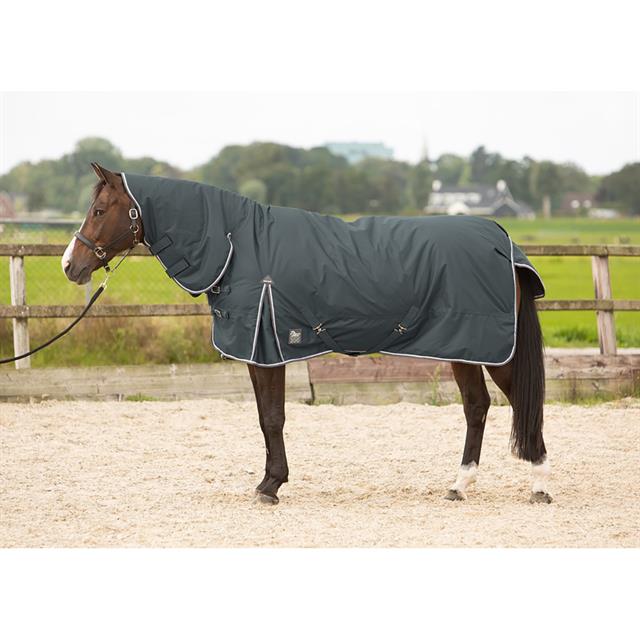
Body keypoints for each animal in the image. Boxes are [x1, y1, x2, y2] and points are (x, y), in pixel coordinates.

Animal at [62, 163, 551, 505]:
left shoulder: (267, 350)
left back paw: (539, 485)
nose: (70, 265)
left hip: (493, 349)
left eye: (99, 211)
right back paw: (459, 485)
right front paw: (268, 482)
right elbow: (265, 417)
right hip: (463, 346)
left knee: (523, 403)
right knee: (477, 407)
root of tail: (502, 238)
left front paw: (270, 486)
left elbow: (273, 418)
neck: (237, 245)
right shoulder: (261, 353)